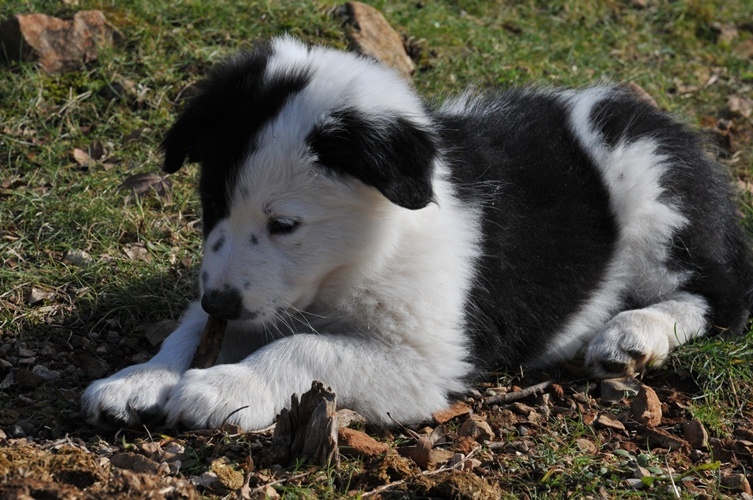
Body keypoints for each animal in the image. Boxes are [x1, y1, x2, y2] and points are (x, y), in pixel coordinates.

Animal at [79, 37, 748, 432]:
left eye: (285, 225)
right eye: (210, 204)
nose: (220, 300)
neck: (362, 252)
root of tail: (657, 119)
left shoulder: (423, 361)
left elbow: (304, 348)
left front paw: (225, 387)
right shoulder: (257, 297)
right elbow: (192, 329)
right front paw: (139, 377)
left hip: (654, 197)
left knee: (720, 297)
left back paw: (632, 333)